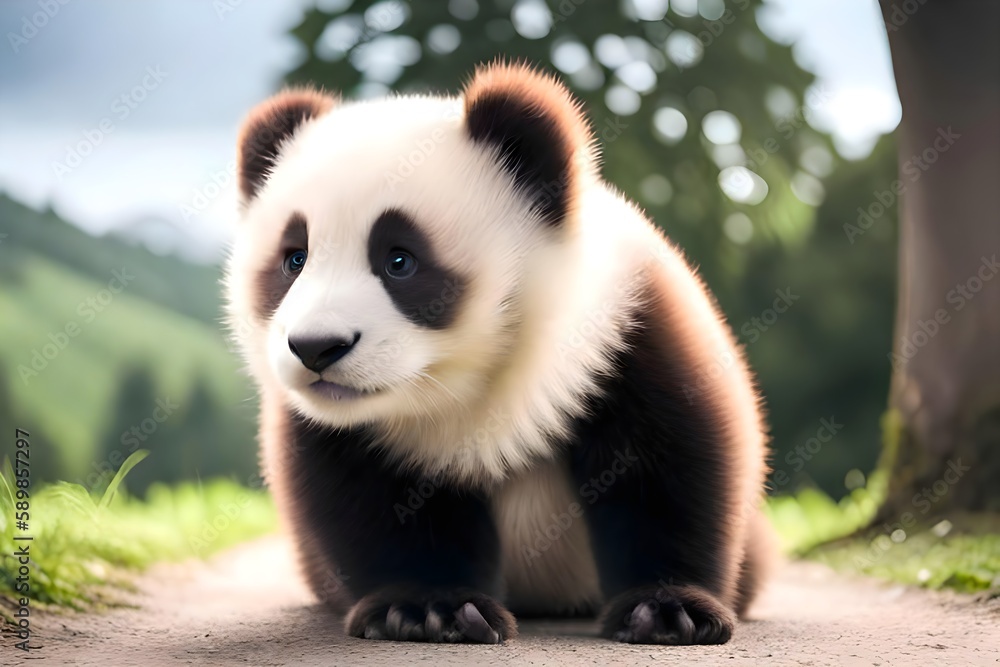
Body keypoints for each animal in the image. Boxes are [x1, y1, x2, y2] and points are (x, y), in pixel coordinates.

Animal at [225, 61, 770, 646]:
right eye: (294, 258)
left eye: (400, 260)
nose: (316, 348)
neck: (475, 378)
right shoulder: (341, 425)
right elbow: (370, 496)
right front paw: (427, 609)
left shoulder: (621, 328)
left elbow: (670, 459)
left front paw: (667, 609)